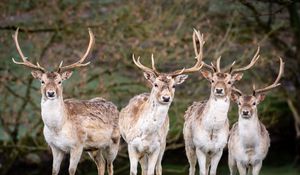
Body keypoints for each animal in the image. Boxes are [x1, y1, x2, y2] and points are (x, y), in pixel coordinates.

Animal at [11, 28, 119, 174]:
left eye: (59, 81)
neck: (57, 128)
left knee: (110, 166)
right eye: (42, 81)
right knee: (101, 164)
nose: (51, 93)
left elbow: (71, 170)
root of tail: (115, 106)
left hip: (114, 142)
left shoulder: (77, 145)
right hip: (94, 148)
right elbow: (54, 170)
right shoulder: (55, 147)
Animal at [119, 29, 206, 175]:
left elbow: (151, 171)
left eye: (174, 85)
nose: (166, 98)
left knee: (158, 167)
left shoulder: (156, 147)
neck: (146, 135)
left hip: (164, 143)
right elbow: (133, 171)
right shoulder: (131, 145)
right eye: (155, 84)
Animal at [183, 30, 260, 175]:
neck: (212, 130)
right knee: (191, 167)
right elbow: (201, 172)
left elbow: (212, 172)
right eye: (212, 80)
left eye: (229, 82)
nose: (219, 90)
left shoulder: (218, 150)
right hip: (188, 144)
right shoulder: (200, 147)